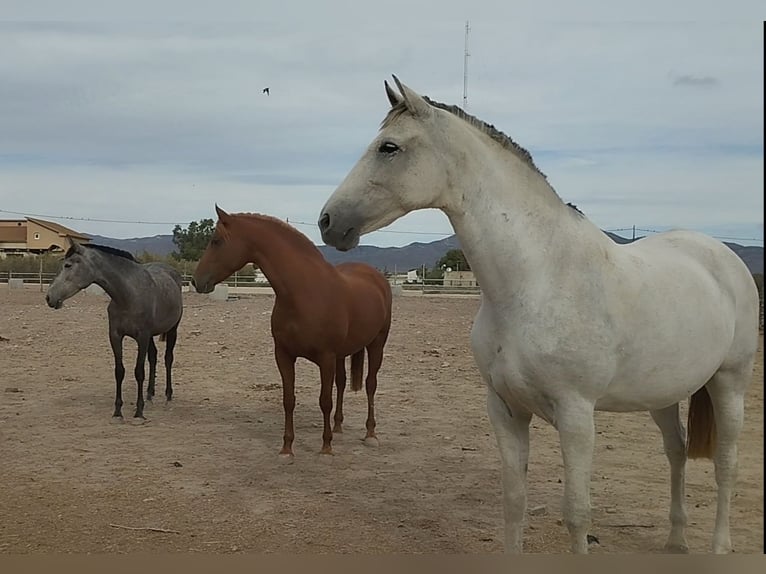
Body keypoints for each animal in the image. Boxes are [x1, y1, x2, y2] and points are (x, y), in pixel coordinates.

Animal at [47, 238, 184, 418]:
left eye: (68, 265)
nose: (49, 297)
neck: (128, 295)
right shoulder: (115, 336)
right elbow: (119, 371)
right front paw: (118, 411)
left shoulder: (142, 337)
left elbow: (139, 372)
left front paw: (139, 411)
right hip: (151, 336)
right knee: (153, 357)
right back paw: (149, 394)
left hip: (172, 329)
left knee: (168, 358)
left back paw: (168, 395)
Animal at [195, 207, 392, 460]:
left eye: (216, 241)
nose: (196, 281)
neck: (303, 292)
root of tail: (375, 277)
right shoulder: (284, 355)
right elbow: (288, 400)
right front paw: (287, 448)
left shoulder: (326, 357)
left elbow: (324, 401)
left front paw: (326, 447)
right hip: (342, 355)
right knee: (341, 383)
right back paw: (338, 426)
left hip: (376, 344)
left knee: (370, 384)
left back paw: (370, 434)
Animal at [320, 75, 760, 552]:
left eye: (389, 147)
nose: (327, 221)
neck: (536, 281)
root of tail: (722, 256)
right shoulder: (506, 409)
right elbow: (514, 501)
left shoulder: (576, 416)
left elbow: (577, 513)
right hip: (662, 392)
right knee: (676, 450)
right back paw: (676, 541)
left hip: (729, 381)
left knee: (726, 463)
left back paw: (718, 546)